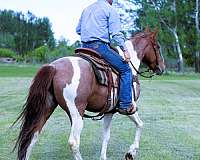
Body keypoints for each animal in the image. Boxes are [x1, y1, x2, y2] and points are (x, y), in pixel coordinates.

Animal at [14, 27, 166, 160]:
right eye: (158, 47)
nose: (162, 68)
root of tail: (54, 67)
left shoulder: (109, 111)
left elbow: (106, 135)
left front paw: (103, 157)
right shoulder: (130, 107)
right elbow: (140, 125)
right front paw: (131, 153)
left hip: (48, 107)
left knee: (32, 136)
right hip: (77, 113)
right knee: (73, 142)